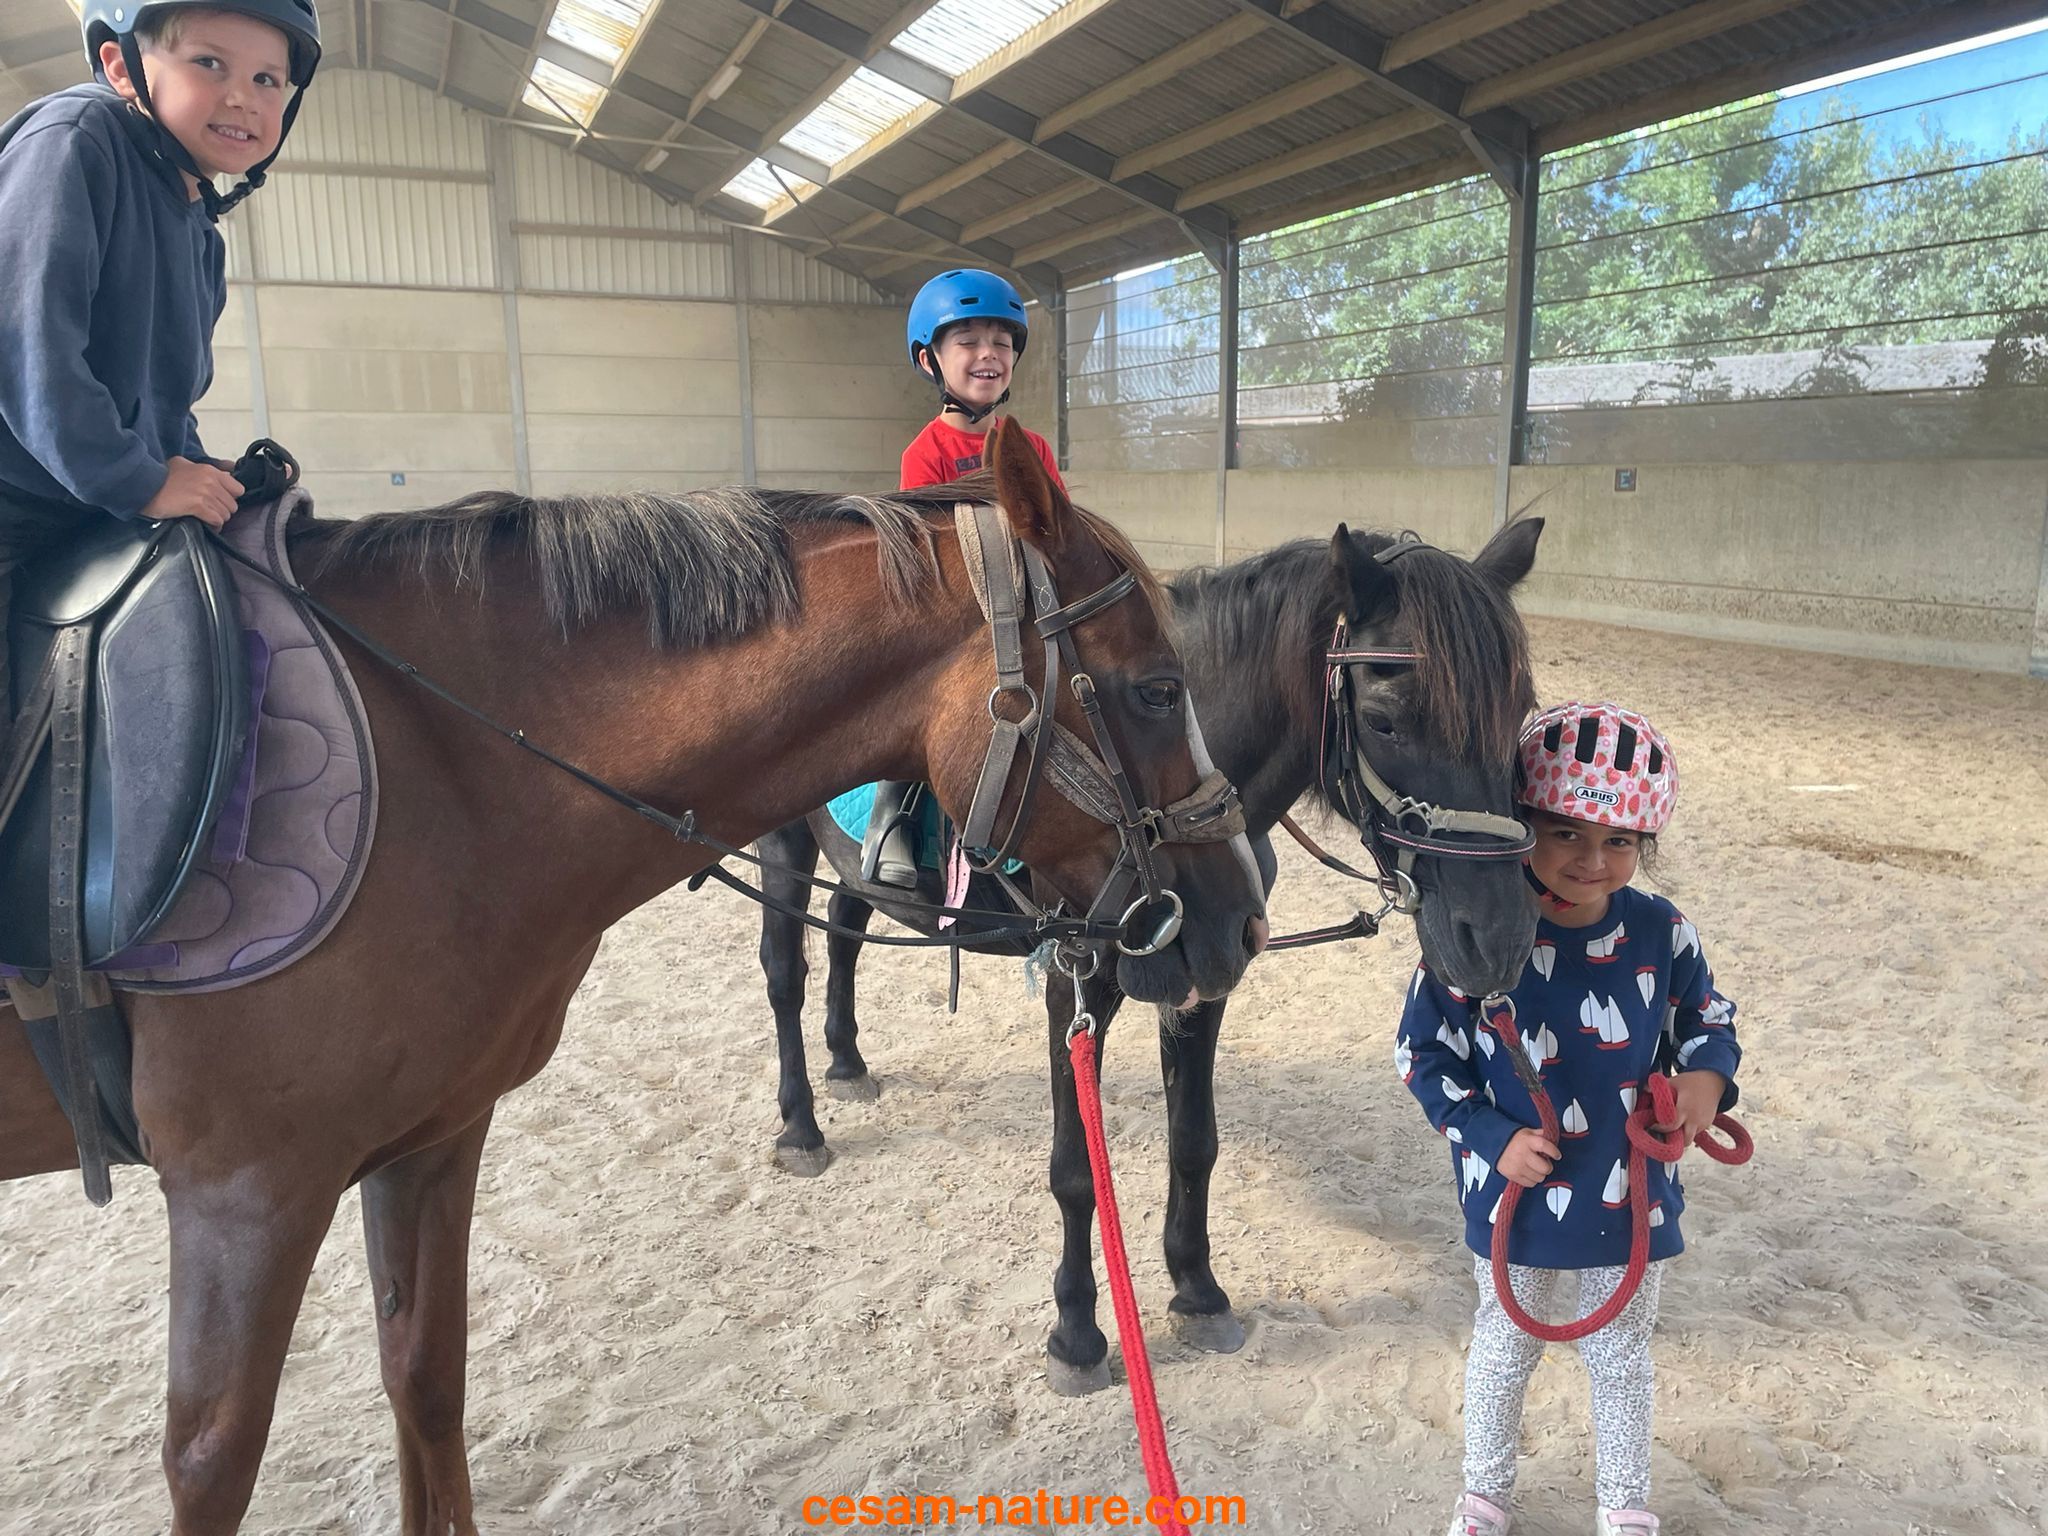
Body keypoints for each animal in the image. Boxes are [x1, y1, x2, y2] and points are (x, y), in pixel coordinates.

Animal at [0, 420, 1266, 1535]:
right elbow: (211, 1463)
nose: (1239, 918)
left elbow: (427, 1376)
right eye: (1156, 687)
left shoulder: (427, 1140)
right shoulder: (244, 1190)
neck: (443, 759)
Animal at [753, 516, 1543, 1392]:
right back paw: (801, 1126)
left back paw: (847, 1060)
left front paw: (1198, 1292)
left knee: (843, 924)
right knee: (786, 974)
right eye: (1385, 719)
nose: (1499, 939)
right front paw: (1076, 1333)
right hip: (782, 844)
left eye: (1520, 711)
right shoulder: (1075, 983)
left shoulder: (1207, 981)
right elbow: (1075, 1172)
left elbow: (1194, 1141)